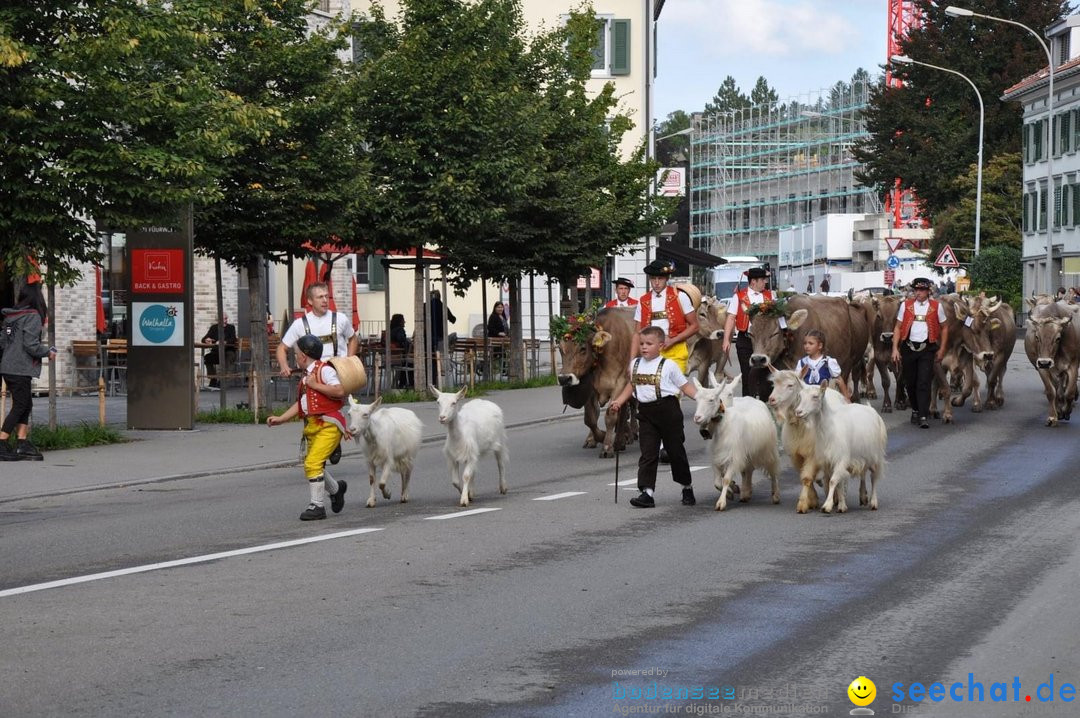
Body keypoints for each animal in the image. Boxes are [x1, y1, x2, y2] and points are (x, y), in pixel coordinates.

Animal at [561, 304, 635, 455]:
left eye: (583, 348)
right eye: (560, 349)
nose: (564, 379)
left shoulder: (620, 382)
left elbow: (611, 415)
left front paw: (607, 447)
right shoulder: (590, 388)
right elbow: (590, 418)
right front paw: (600, 437)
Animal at [691, 375, 786, 509]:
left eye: (711, 400)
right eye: (696, 399)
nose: (697, 418)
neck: (723, 426)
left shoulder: (733, 456)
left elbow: (725, 479)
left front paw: (721, 502)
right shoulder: (718, 457)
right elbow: (717, 482)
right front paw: (730, 493)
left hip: (768, 449)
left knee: (773, 470)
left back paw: (775, 495)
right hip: (747, 453)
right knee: (748, 470)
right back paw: (746, 493)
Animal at [764, 369, 846, 516]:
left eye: (790, 385)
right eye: (773, 384)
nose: (771, 399)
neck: (800, 426)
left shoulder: (813, 455)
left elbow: (807, 478)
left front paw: (802, 504)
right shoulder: (795, 455)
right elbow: (805, 477)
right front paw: (812, 500)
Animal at [1019, 295, 1080, 425]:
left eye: (1058, 338)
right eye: (1037, 337)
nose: (1045, 362)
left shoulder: (1072, 365)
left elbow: (1070, 392)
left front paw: (1066, 411)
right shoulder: (1042, 368)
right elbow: (1051, 392)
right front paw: (1053, 416)